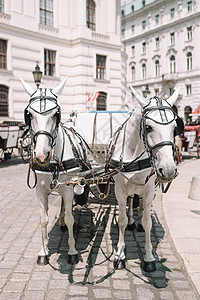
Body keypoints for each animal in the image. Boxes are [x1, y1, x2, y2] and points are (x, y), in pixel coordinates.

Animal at [20, 77, 90, 264]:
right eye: (29, 114)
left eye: (55, 114)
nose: (41, 155)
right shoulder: (40, 190)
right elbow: (43, 219)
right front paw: (43, 252)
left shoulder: (69, 188)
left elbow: (71, 218)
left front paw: (72, 251)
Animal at [107, 87, 184, 272]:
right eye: (148, 127)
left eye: (174, 128)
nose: (169, 171)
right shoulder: (119, 190)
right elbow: (121, 220)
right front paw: (120, 255)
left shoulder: (149, 190)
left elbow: (148, 221)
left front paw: (149, 257)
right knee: (130, 204)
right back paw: (131, 221)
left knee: (139, 205)